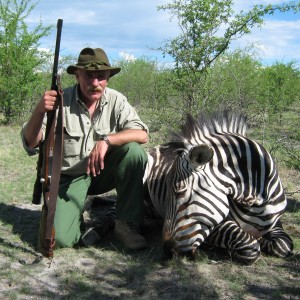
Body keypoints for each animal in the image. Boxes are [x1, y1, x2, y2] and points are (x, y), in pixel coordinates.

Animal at [143, 110, 292, 264]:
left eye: (179, 190)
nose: (167, 251)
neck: (256, 203)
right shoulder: (215, 226)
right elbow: (249, 246)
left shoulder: (276, 222)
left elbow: (283, 245)